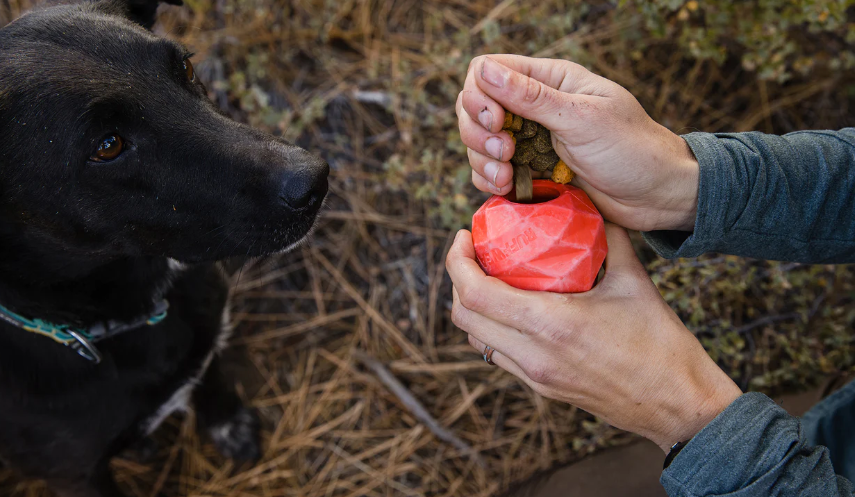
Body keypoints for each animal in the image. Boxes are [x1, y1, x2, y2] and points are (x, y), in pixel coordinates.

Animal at [0, 0, 328, 492]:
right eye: (108, 145)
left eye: (186, 68)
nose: (313, 182)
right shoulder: (76, 477)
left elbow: (213, 379)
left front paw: (230, 426)